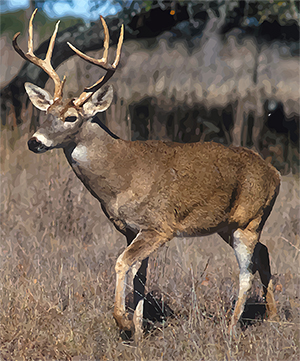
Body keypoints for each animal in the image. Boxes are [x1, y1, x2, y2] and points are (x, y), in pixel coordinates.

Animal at [13, 9, 282, 338]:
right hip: (228, 225)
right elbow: (140, 276)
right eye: (46, 113)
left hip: (249, 220)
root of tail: (275, 173)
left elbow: (121, 264)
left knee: (246, 272)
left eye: (71, 117)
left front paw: (124, 321)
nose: (34, 141)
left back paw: (231, 328)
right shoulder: (131, 229)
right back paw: (272, 317)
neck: (121, 177)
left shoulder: (159, 225)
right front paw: (140, 331)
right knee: (264, 253)